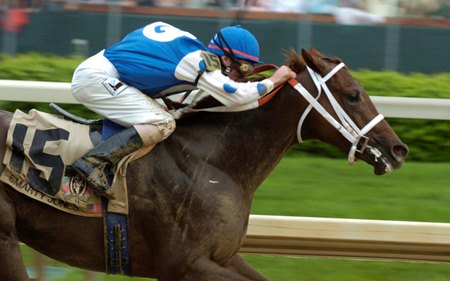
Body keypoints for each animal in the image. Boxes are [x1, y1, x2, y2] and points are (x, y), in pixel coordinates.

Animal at [0, 49, 408, 278]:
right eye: (353, 95)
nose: (397, 149)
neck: (215, 164)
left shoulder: (223, 257)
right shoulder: (183, 265)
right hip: (6, 239)